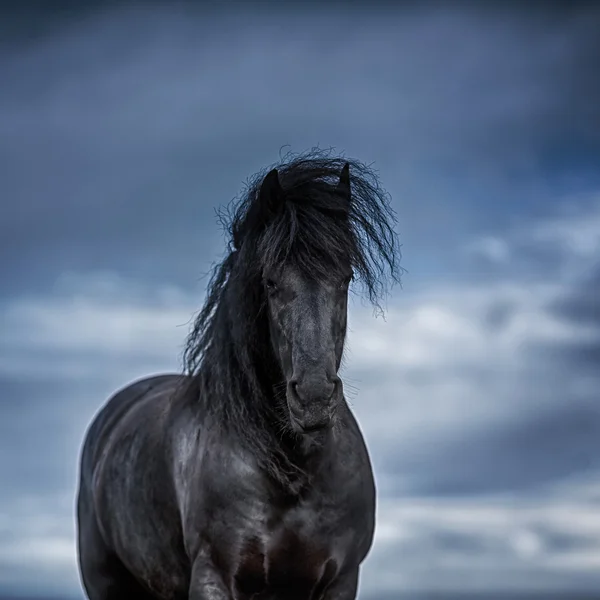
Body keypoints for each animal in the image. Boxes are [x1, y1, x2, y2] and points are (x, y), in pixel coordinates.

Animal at [77, 152, 400, 596]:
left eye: (345, 278)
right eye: (270, 281)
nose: (314, 398)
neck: (293, 471)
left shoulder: (341, 580)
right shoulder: (213, 575)